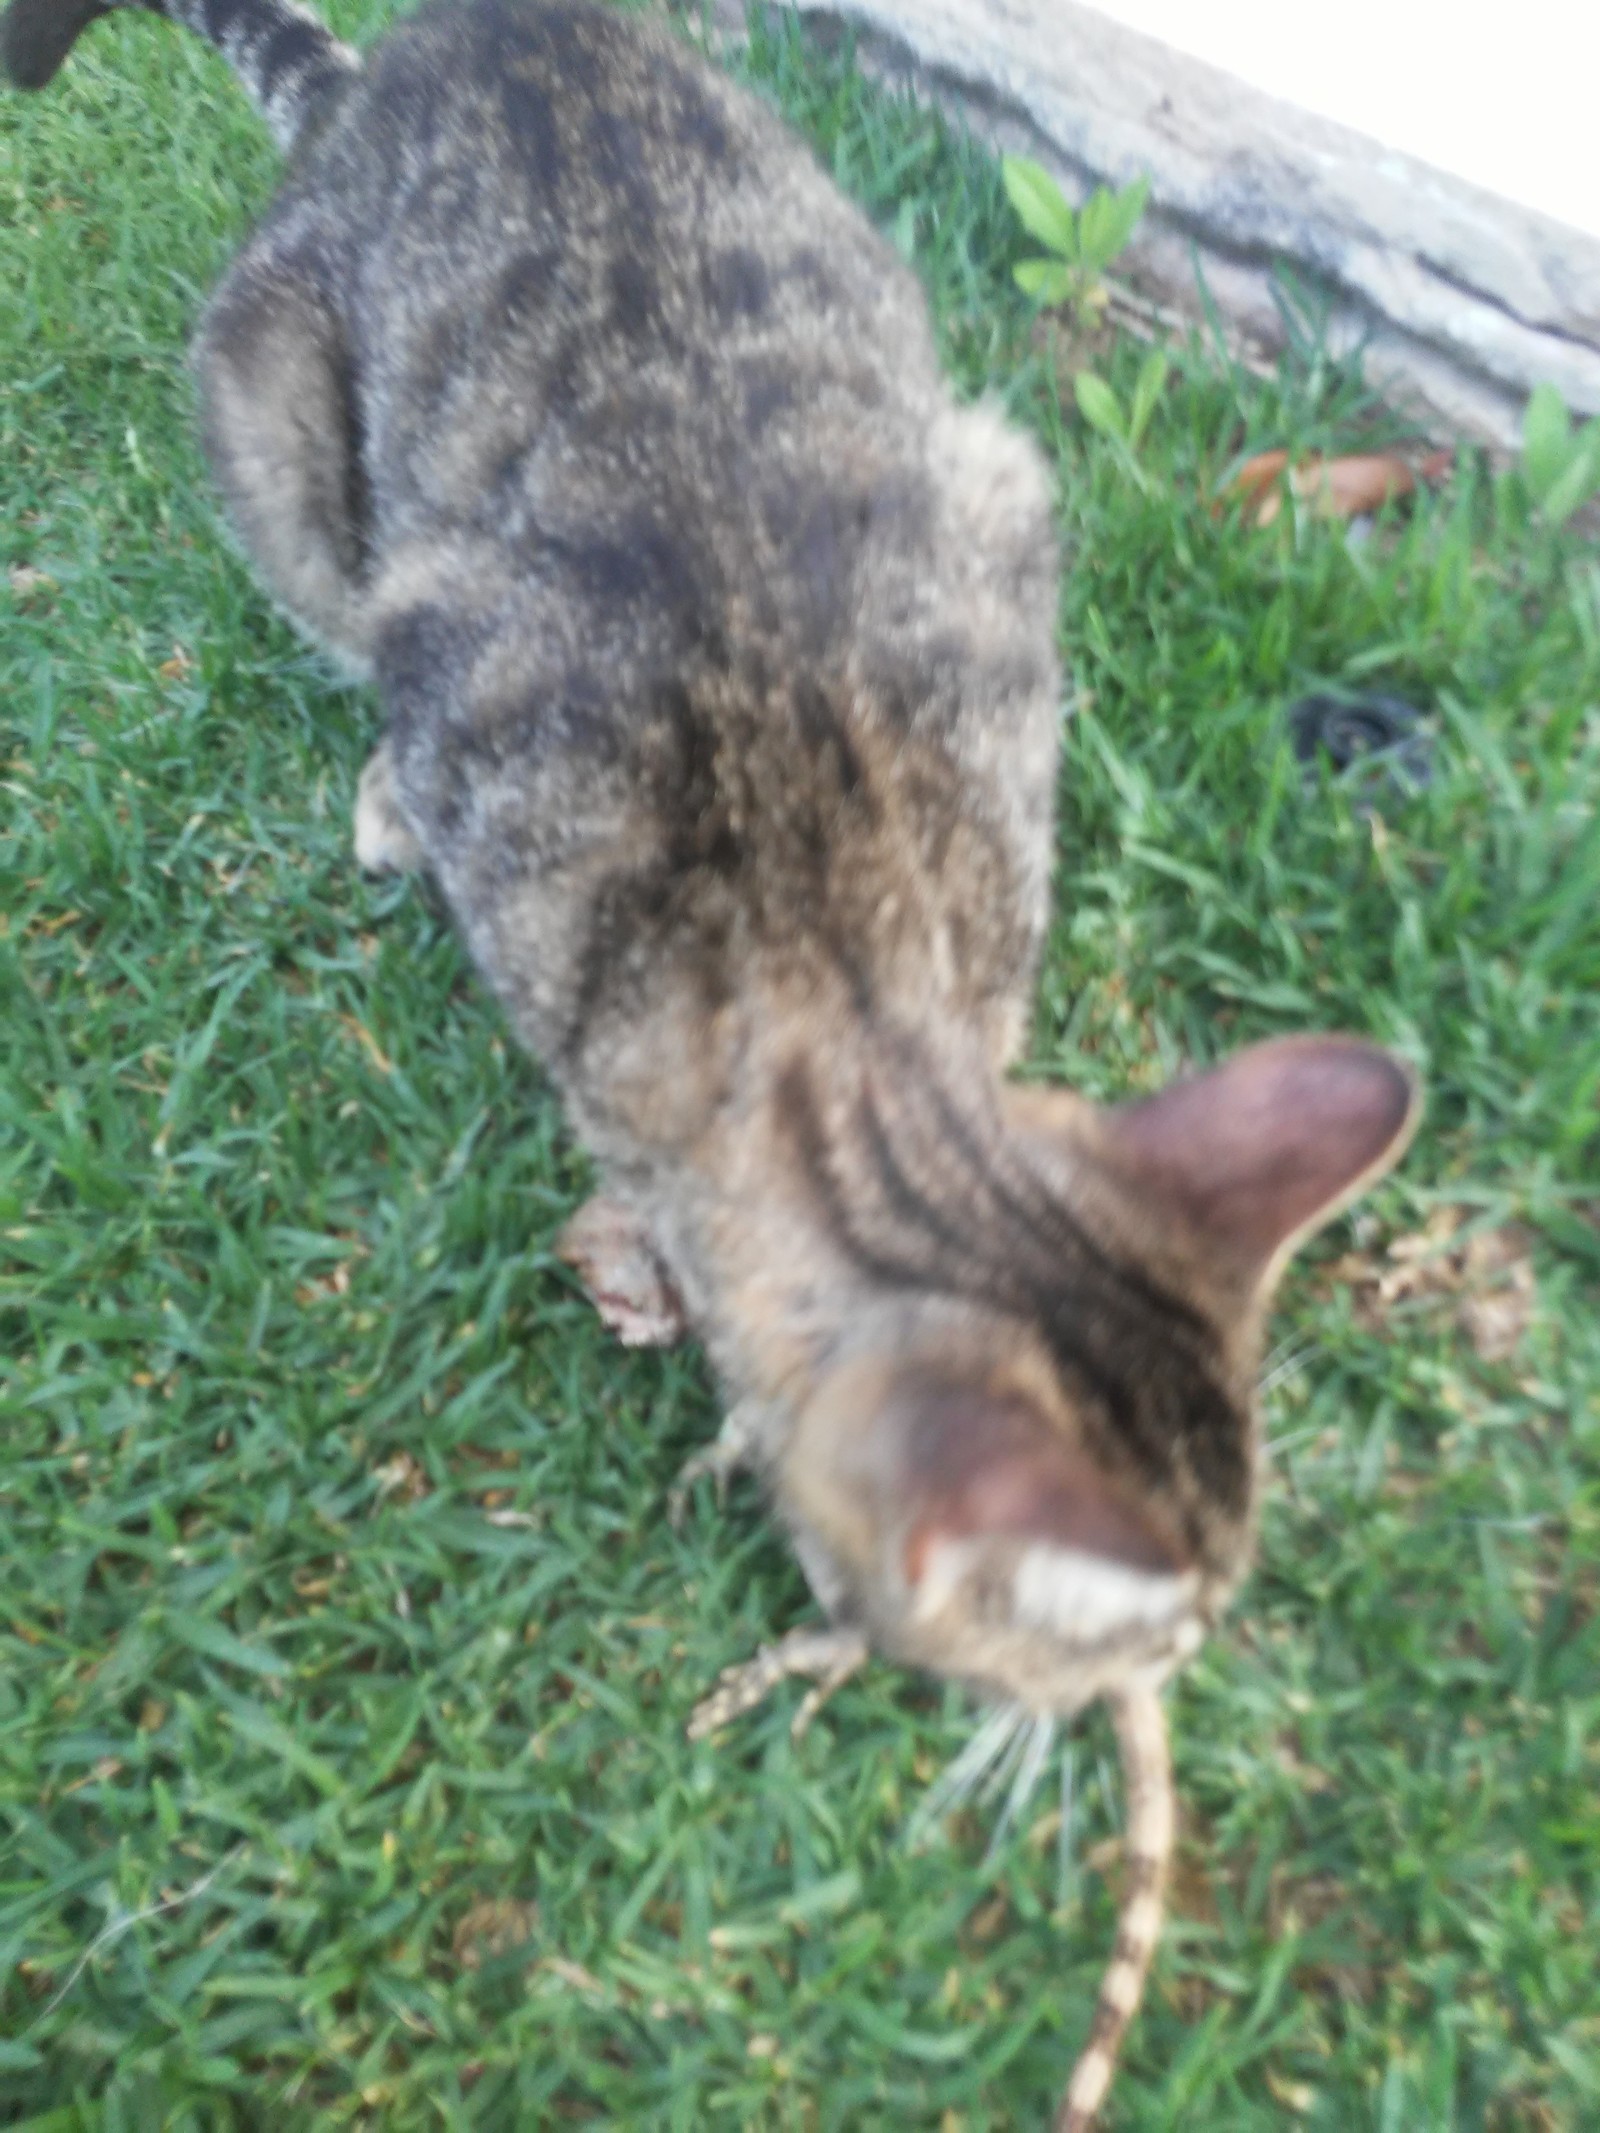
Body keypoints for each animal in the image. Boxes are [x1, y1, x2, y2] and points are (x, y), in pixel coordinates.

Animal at [6, 0, 1425, 2115]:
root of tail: (428, 54)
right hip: (266, 404)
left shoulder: (998, 532)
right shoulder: (459, 669)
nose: (1165, 1682)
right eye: (1128, 1640)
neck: (839, 997)